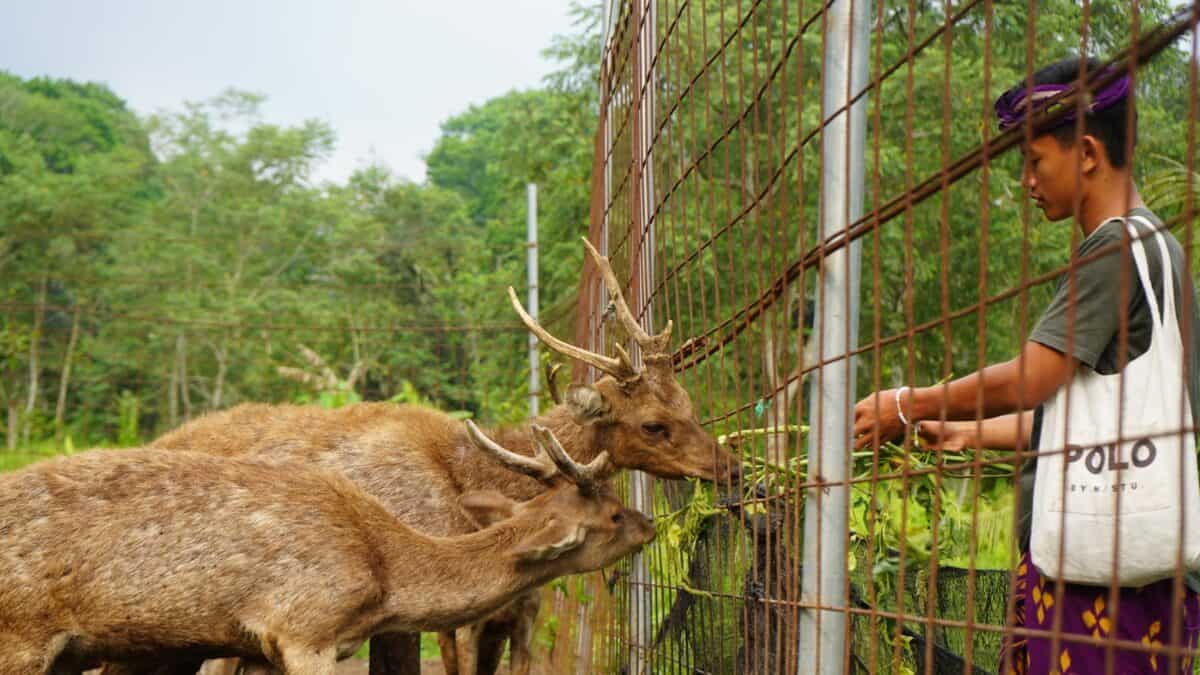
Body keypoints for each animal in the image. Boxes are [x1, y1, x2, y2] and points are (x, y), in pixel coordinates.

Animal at [0, 422, 655, 675]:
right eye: (612, 513)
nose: (650, 524)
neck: (382, 579)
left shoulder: (261, 645)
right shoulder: (303, 625)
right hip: (21, 637)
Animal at [97, 238, 741, 675]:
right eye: (653, 424)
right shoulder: (431, 620)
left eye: (689, 400)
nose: (730, 466)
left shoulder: (516, 614)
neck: (468, 486)